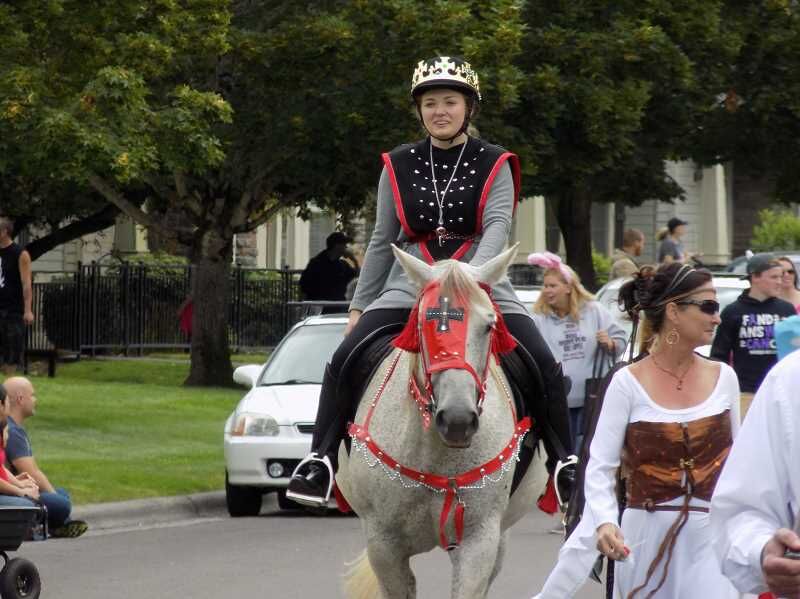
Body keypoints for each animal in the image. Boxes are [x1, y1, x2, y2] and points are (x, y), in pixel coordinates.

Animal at [334, 245, 548, 599]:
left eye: (488, 326)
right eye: (423, 323)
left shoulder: (479, 541)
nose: (458, 420)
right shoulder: (384, 545)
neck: (435, 453)